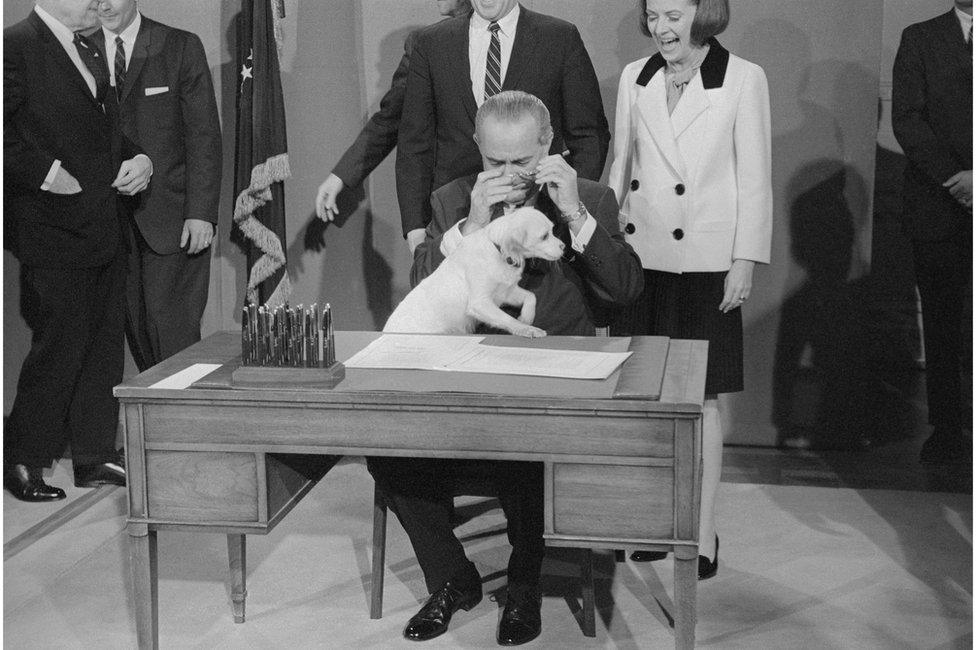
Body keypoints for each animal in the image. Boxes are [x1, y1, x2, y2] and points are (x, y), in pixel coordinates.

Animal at [382, 208, 564, 336]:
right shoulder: (480, 302)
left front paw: (527, 318)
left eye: (552, 230)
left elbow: (531, 296)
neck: (497, 250)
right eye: (544, 236)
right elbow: (506, 319)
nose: (563, 246)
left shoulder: (505, 293)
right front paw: (526, 329)